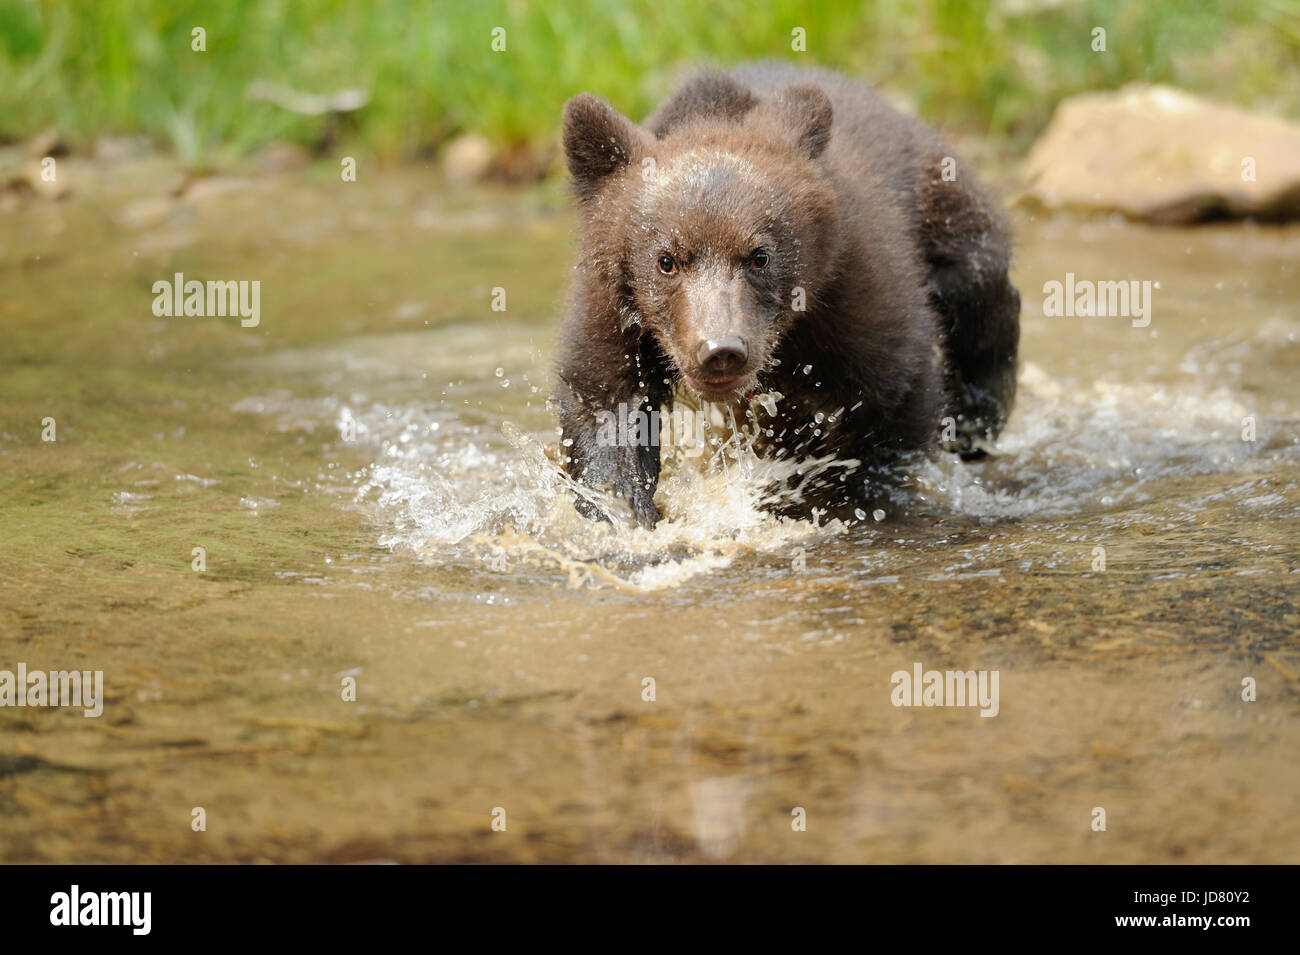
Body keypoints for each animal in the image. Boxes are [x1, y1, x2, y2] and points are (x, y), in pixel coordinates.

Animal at [552, 63, 1020, 528]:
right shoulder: (614, 306)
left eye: (759, 256)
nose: (721, 350)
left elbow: (892, 400)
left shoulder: (850, 293)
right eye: (666, 260)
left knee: (979, 294)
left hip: (943, 208)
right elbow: (604, 399)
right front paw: (621, 509)